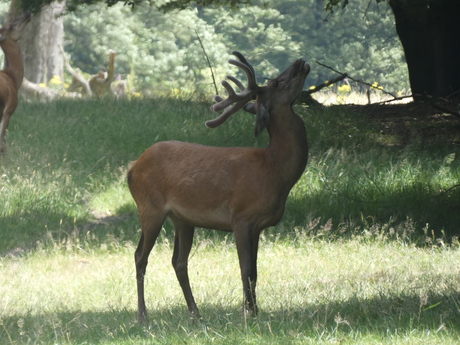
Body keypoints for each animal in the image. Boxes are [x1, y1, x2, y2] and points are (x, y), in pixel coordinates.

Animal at [127, 51, 310, 322]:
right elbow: (246, 269)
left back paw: (195, 312)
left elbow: (255, 271)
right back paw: (143, 315)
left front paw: (255, 310)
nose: (300, 61)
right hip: (149, 207)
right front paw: (248, 313)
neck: (274, 171)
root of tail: (132, 168)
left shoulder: (257, 226)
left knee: (179, 261)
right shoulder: (241, 217)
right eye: (276, 82)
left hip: (182, 219)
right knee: (141, 256)